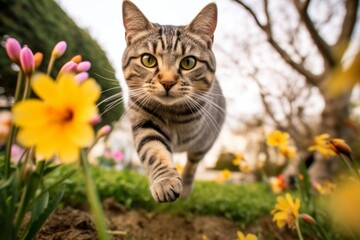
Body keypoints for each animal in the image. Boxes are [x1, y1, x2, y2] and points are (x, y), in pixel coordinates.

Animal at [122, 0, 226, 202]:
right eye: (148, 60)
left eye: (188, 62)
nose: (168, 82)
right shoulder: (145, 122)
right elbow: (154, 150)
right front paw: (166, 181)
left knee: (192, 164)